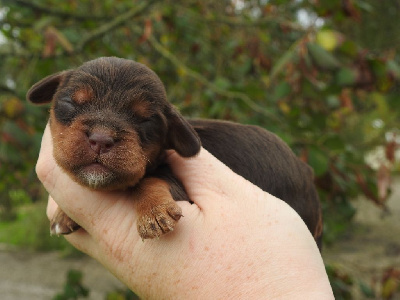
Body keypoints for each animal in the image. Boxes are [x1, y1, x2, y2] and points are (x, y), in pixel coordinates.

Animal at [27, 56, 322, 248]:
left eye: (145, 120)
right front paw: (63, 214)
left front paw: (154, 213)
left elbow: (149, 180)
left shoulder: (177, 185)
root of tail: (306, 170)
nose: (101, 139)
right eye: (70, 103)